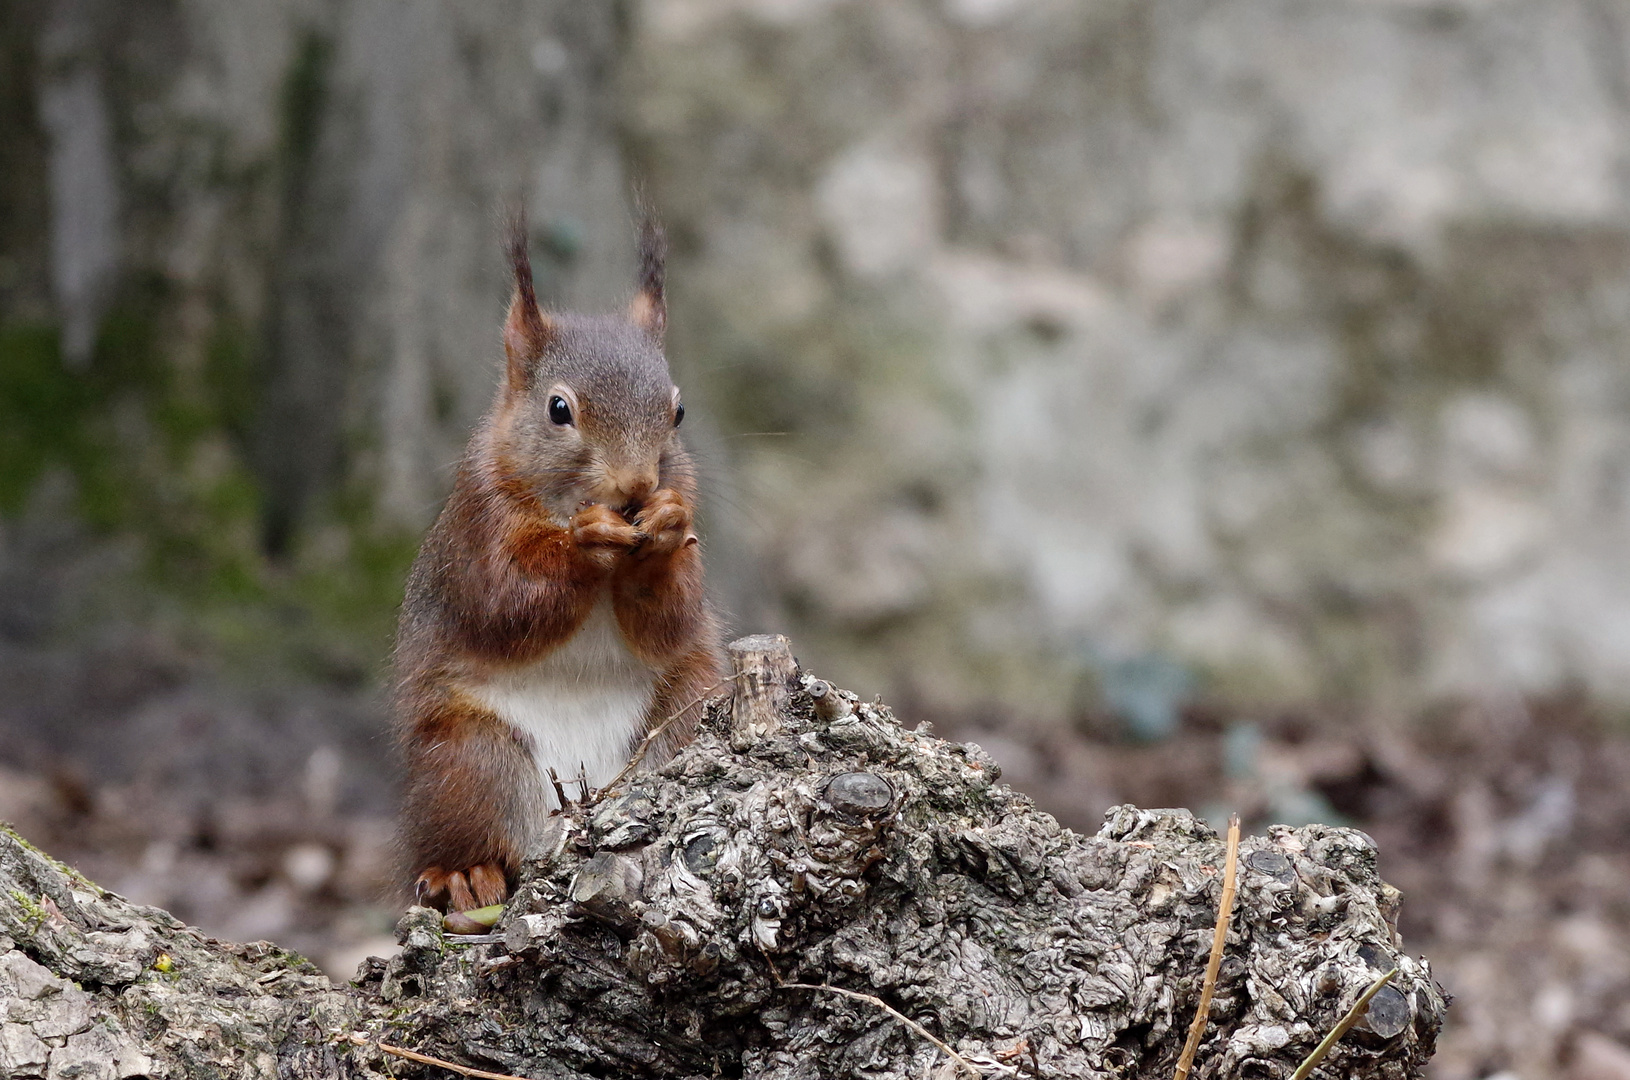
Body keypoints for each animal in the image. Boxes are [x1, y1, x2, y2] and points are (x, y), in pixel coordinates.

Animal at [391, 218, 723, 912]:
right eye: (558, 409)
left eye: (678, 411)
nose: (636, 488)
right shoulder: (477, 526)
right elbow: (503, 603)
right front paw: (585, 543)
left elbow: (672, 617)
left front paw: (663, 526)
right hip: (469, 758)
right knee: (467, 826)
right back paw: (466, 874)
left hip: (683, 716)